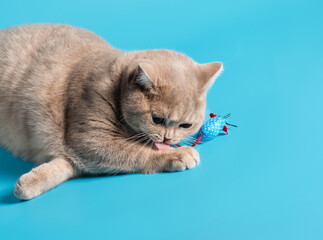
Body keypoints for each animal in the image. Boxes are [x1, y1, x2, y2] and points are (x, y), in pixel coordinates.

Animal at [0, 24, 223, 201]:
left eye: (186, 125)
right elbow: (137, 152)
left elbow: (65, 166)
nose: (169, 139)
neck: (116, 83)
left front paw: (29, 184)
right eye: (157, 119)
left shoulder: (78, 152)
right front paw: (178, 154)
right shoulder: (90, 140)